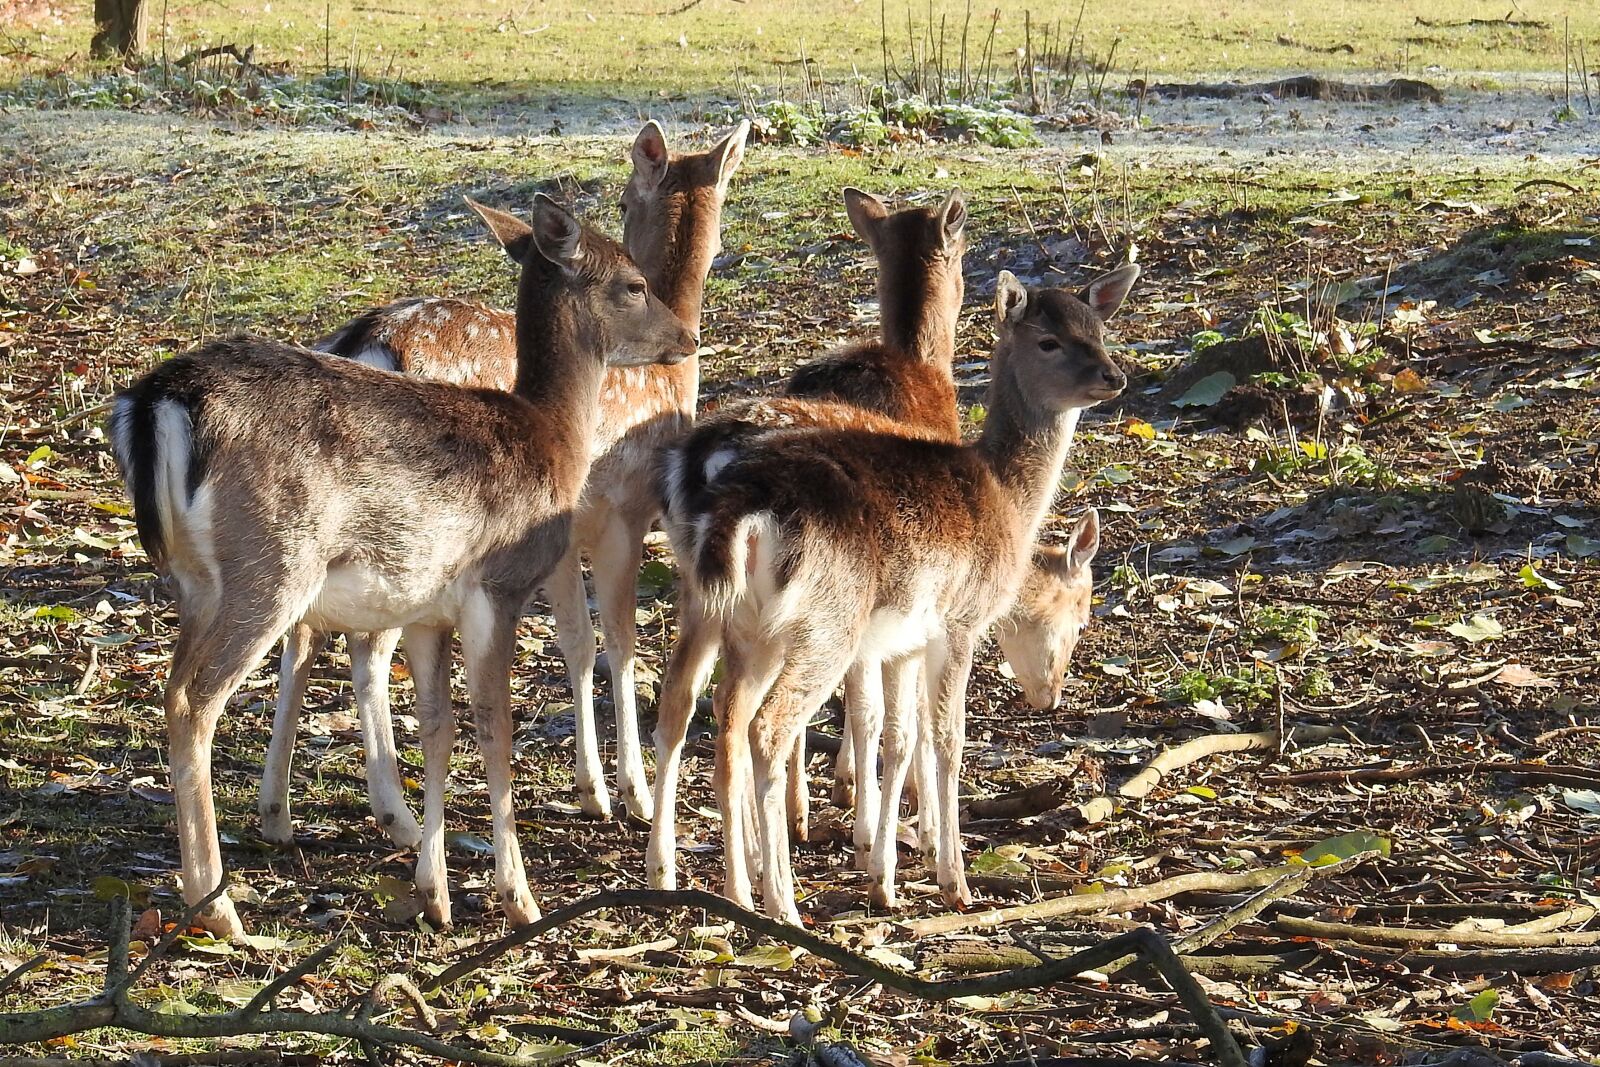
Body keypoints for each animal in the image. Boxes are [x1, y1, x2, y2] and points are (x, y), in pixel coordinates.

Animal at [109, 194, 697, 939]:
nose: (687, 337)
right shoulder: (496, 586)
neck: (553, 437)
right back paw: (217, 906)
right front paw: (518, 896)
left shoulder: (427, 611)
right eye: (633, 283)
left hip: (196, 582)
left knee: (181, 683)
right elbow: (495, 727)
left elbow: (439, 729)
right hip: (270, 564)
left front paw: (436, 891)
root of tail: (153, 402)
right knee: (194, 699)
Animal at [256, 121, 748, 850]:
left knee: (304, 632)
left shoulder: (560, 529)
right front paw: (629, 792)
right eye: (624, 201)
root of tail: (363, 340)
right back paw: (397, 815)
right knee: (364, 646)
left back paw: (278, 810)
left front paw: (593, 788)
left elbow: (577, 641)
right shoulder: (622, 510)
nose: (684, 339)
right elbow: (618, 641)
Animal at [648, 265, 1137, 923]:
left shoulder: (899, 640)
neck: (1008, 501)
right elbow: (942, 735)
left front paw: (890, 864)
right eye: (1048, 341)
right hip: (826, 622)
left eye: (1100, 330)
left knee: (701, 707)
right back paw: (782, 899)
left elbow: (899, 733)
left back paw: (713, 882)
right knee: (768, 727)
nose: (1113, 376)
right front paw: (944, 875)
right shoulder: (955, 622)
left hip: (734, 614)